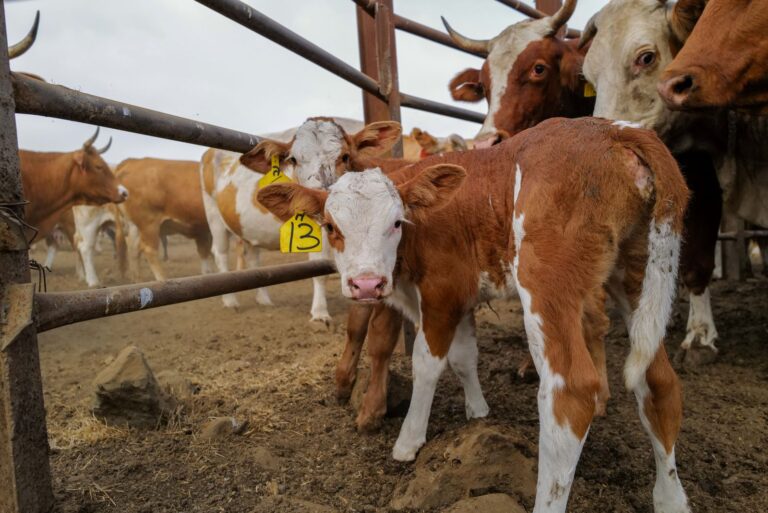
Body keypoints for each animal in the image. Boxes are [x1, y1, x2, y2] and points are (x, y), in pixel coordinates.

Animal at [200, 118, 402, 318]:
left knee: (253, 260)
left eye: (345, 156)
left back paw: (263, 299)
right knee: (220, 255)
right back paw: (230, 301)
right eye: (293, 160)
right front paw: (320, 312)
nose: (319, 193)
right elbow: (319, 269)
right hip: (214, 218)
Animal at [259, 117, 691, 513]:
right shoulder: (462, 296)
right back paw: (670, 499)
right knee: (660, 382)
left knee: (570, 393)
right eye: (332, 226)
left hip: (547, 285)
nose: (367, 283)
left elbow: (427, 363)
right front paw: (477, 413)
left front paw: (408, 440)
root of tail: (614, 129)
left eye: (396, 222)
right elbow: (464, 357)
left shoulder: (442, 291)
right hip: (636, 272)